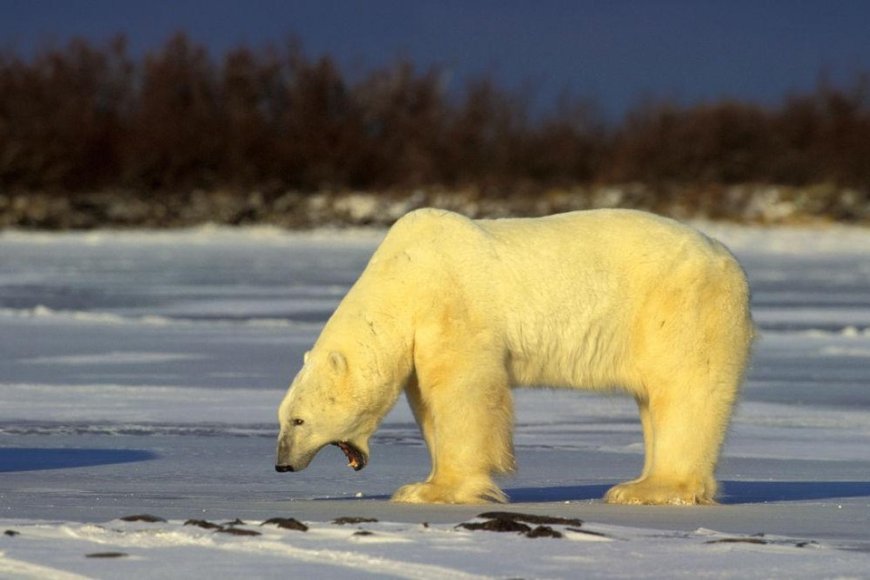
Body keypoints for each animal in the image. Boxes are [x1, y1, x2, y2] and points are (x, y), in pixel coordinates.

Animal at [276, 208, 752, 502]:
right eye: (282, 418)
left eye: (298, 420)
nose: (281, 464)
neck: (401, 278)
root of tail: (729, 260)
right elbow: (427, 403)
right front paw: (425, 481)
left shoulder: (452, 306)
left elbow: (464, 393)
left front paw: (431, 489)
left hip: (679, 307)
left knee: (685, 390)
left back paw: (647, 489)